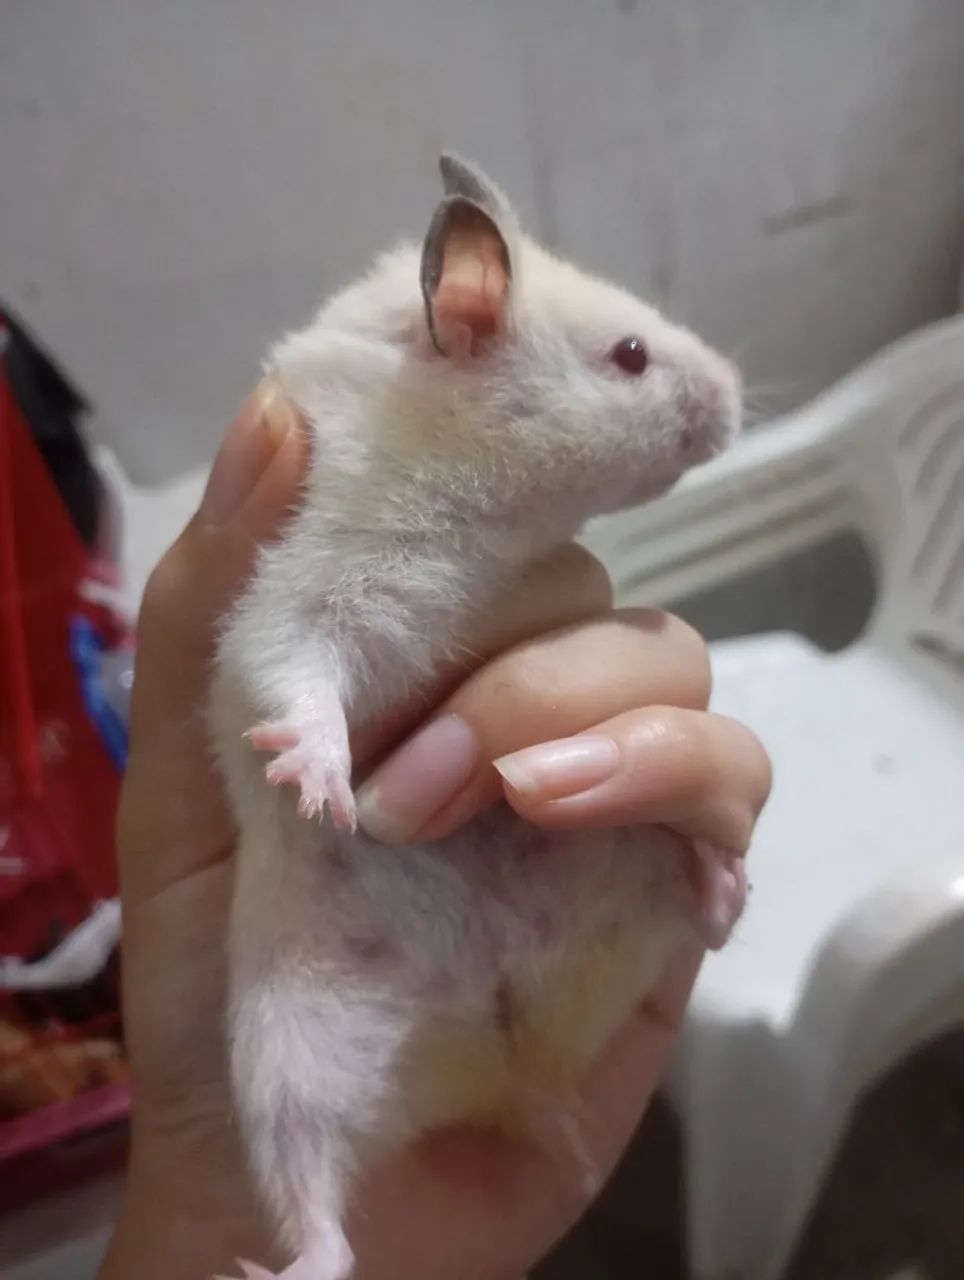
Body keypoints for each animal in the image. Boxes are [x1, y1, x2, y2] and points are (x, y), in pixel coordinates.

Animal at [209, 155, 744, 1280]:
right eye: (631, 355)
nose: (734, 389)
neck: (472, 493)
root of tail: (509, 1057)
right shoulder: (295, 595)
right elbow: (296, 674)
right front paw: (321, 789)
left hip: (622, 867)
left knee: (693, 916)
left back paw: (723, 874)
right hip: (286, 1050)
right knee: (319, 1207)